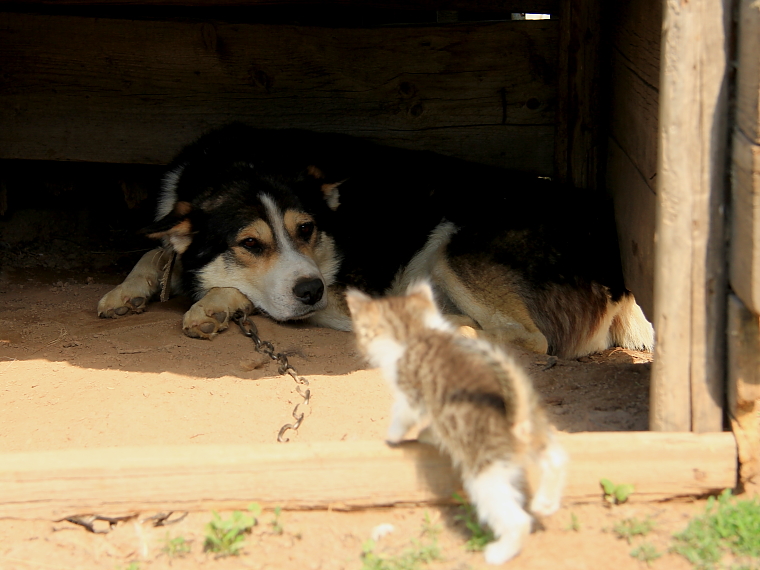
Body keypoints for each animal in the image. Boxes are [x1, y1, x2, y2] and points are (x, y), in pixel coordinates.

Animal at [96, 122, 652, 358]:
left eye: (307, 229)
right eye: (250, 244)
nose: (311, 290)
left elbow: (243, 292)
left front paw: (213, 304)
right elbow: (156, 248)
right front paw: (128, 290)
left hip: (453, 243)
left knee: (527, 338)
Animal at [348, 278, 568, 560]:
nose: (361, 348)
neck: (417, 329)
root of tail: (516, 418)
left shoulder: (411, 395)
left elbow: (402, 418)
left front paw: (393, 437)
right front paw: (429, 436)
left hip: (486, 477)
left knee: (516, 519)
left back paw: (498, 552)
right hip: (539, 433)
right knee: (556, 458)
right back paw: (545, 503)